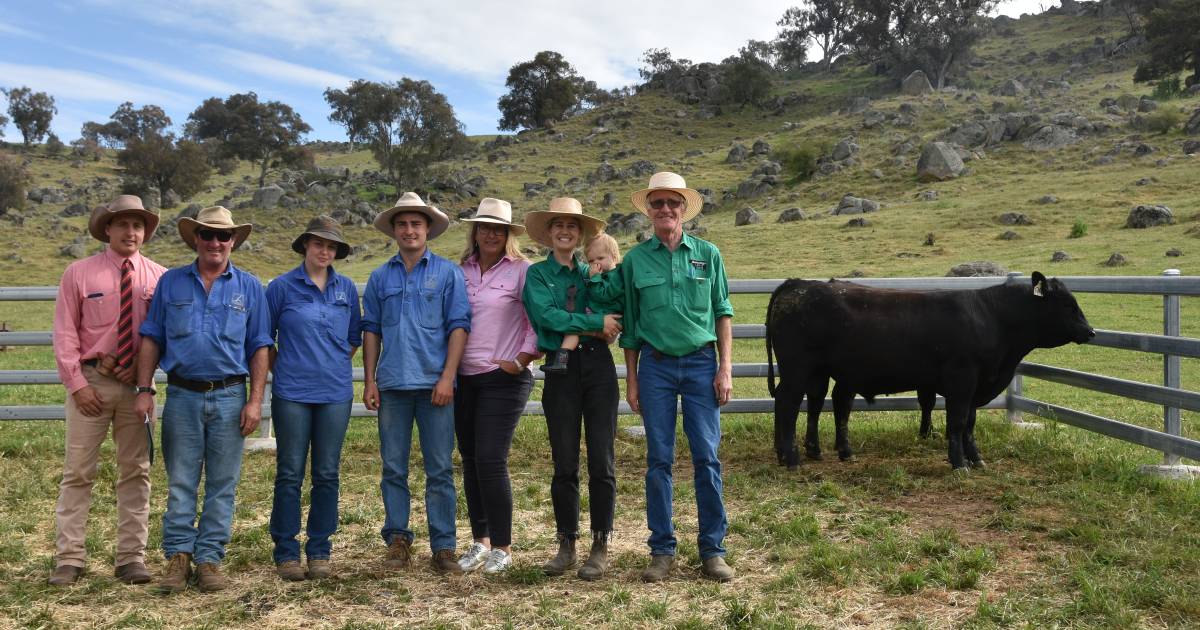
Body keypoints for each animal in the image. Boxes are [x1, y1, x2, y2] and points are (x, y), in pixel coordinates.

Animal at [768, 272, 1099, 468]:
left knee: (812, 403)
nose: (1091, 331)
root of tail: (797, 284)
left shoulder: (975, 385)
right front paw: (959, 462)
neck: (991, 317)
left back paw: (808, 451)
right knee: (788, 403)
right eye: (1067, 304)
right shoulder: (962, 379)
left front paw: (975, 458)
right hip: (797, 368)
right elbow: (957, 421)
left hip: (818, 371)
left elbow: (970, 423)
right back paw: (791, 457)